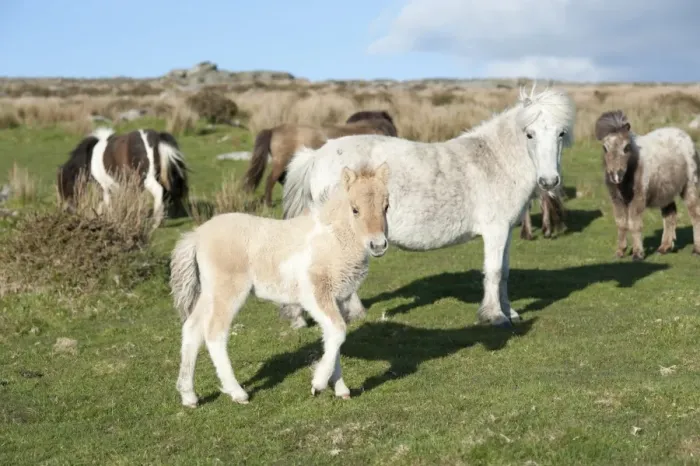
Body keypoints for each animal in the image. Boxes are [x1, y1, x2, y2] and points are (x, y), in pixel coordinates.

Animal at [56, 127, 189, 226]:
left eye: (64, 185)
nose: (68, 211)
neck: (90, 157)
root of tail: (156, 137)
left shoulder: (103, 186)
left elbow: (106, 203)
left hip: (148, 179)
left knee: (159, 191)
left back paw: (156, 222)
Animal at [169, 163, 391, 407]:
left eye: (386, 207)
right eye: (355, 209)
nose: (378, 245)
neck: (332, 238)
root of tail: (197, 235)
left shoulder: (339, 298)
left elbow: (335, 338)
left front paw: (340, 389)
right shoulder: (315, 294)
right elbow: (338, 331)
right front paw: (318, 384)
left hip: (210, 293)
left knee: (192, 329)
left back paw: (189, 396)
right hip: (228, 292)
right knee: (214, 333)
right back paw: (237, 393)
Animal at [280, 86, 576, 328]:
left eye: (561, 133)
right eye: (530, 134)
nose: (548, 181)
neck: (494, 161)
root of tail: (316, 156)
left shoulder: (506, 231)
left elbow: (503, 272)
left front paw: (509, 312)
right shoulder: (495, 231)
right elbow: (493, 272)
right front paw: (495, 317)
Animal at [594, 110, 700, 260]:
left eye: (626, 147)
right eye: (605, 148)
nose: (615, 176)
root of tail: (683, 134)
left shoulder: (638, 198)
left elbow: (634, 223)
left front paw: (638, 253)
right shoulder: (617, 200)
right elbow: (621, 223)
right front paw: (620, 251)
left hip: (689, 185)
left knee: (695, 214)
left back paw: (696, 249)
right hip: (665, 191)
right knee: (670, 215)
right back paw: (664, 247)